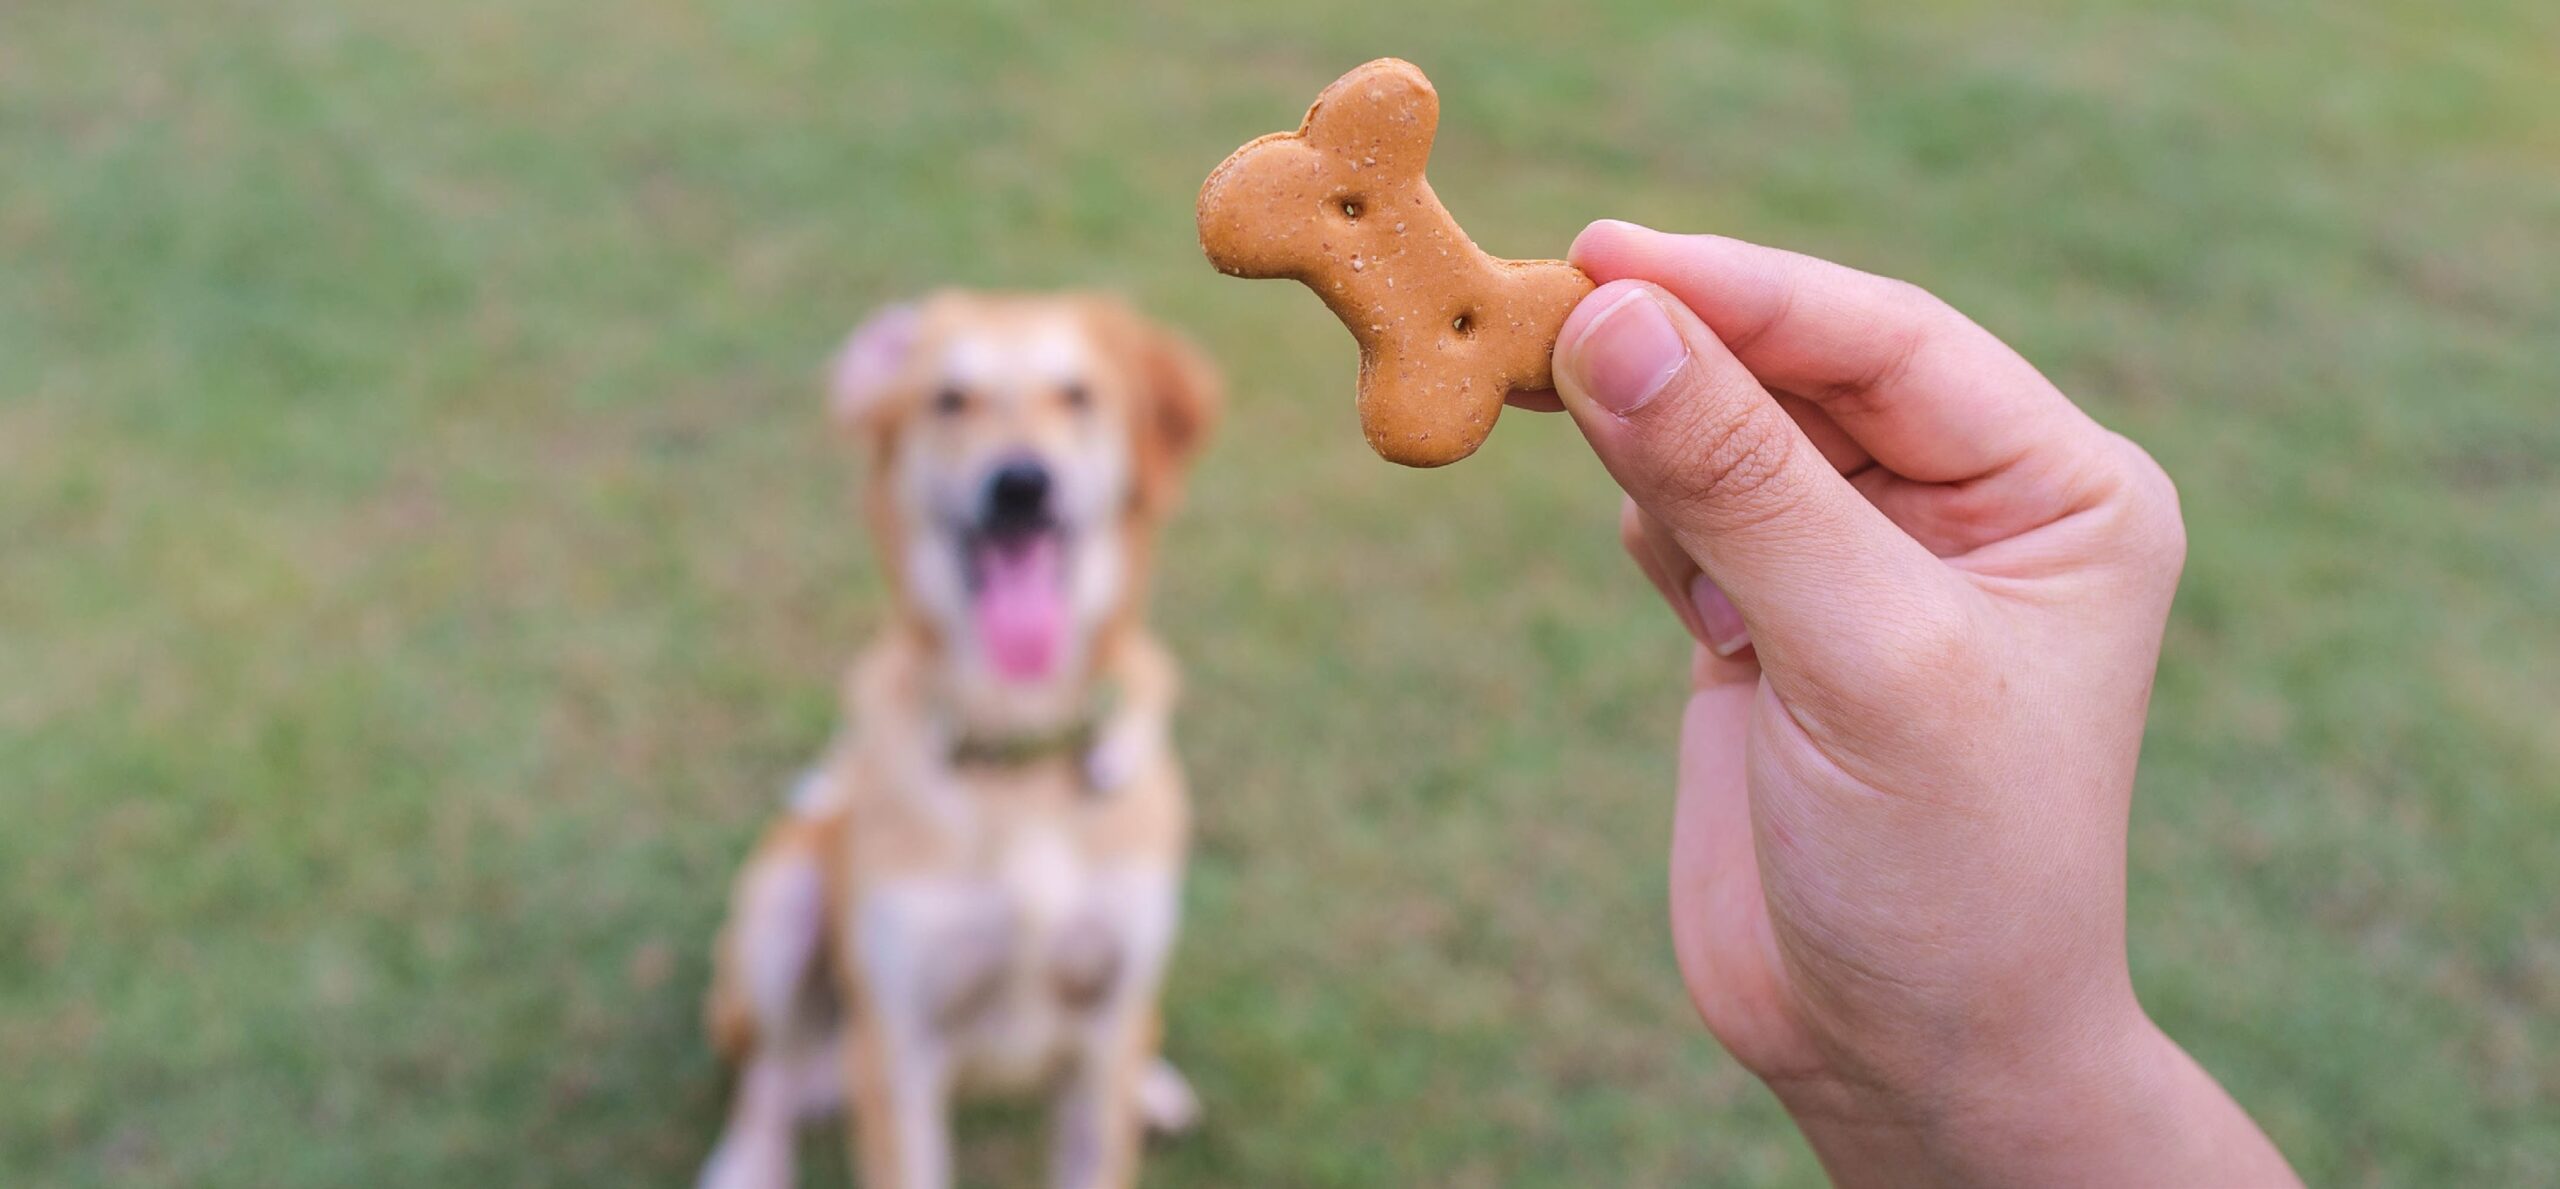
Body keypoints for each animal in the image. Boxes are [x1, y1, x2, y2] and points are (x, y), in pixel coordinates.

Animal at [701, 290, 1218, 1189]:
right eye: (948, 399)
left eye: (1077, 395)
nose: (1020, 484)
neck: (1017, 743)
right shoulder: (899, 1049)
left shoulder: (1105, 1024)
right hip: (781, 904)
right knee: (770, 1068)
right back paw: (748, 1161)